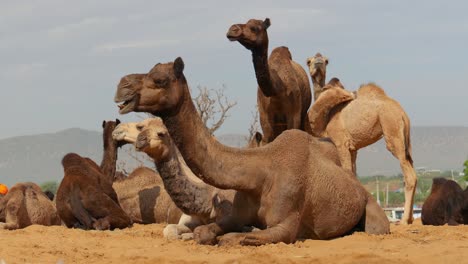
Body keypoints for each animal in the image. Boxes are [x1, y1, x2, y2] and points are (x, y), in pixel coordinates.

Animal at [112, 56, 388, 244]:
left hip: (373, 211)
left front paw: (248, 231)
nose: (121, 86)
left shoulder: (286, 225)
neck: (259, 173)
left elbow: (236, 238)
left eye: (160, 80)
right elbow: (205, 232)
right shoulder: (233, 214)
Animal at [308, 52, 416, 224]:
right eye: (309, 61)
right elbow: (354, 175)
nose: (318, 62)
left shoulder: (341, 142)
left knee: (409, 175)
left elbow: (346, 171)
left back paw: (404, 220)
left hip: (391, 128)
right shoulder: (353, 148)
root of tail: (402, 113)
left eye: (326, 61)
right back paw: (410, 218)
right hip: (405, 139)